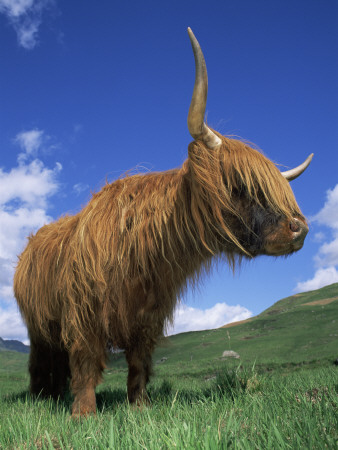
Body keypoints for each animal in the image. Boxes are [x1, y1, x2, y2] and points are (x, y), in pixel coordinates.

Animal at [14, 27, 312, 414]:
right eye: (239, 185)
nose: (299, 228)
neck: (142, 255)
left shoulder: (148, 318)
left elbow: (139, 366)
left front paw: (140, 407)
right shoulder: (83, 315)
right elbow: (85, 363)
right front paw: (83, 414)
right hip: (37, 328)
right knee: (41, 362)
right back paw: (41, 398)